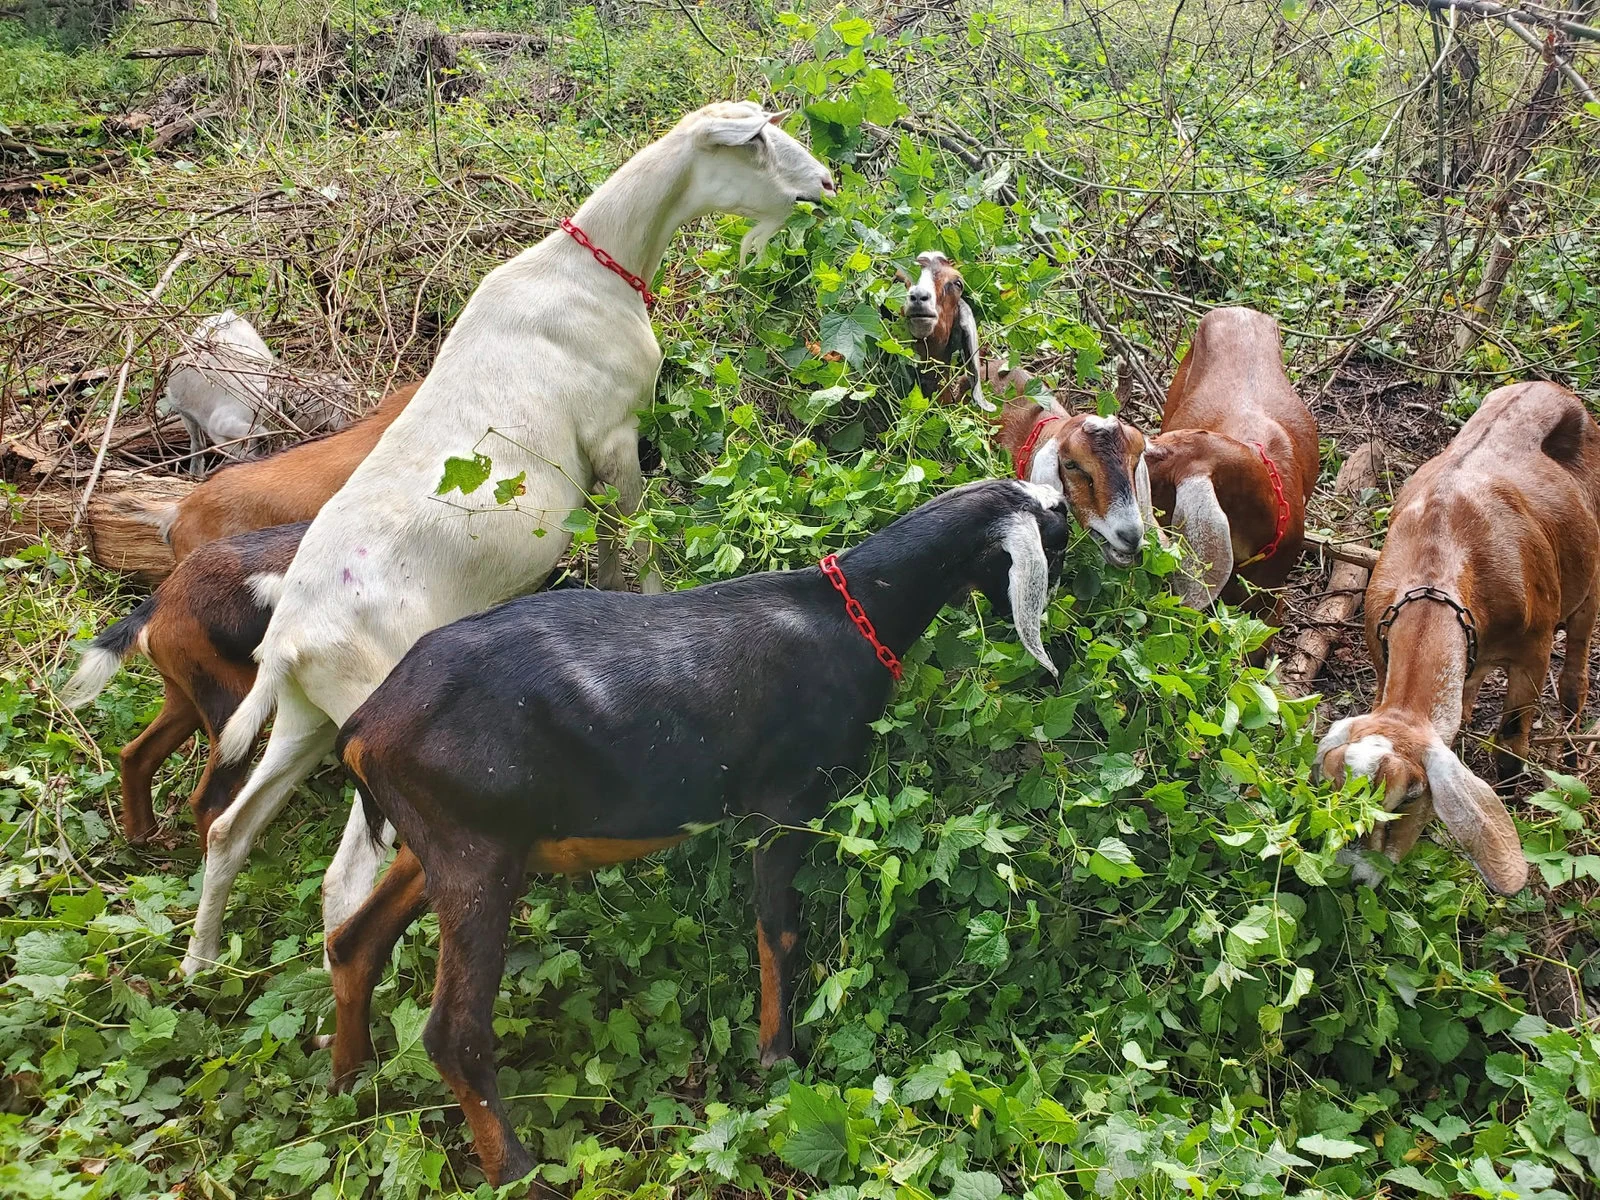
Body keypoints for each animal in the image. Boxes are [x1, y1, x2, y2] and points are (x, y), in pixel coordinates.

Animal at [184, 103, 838, 979]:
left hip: (304, 718)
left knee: (232, 829)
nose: (826, 183)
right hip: (376, 719)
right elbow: (640, 543)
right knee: (346, 874)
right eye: (759, 143)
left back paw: (202, 962)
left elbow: (607, 546)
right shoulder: (615, 433)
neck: (592, 269)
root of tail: (288, 641)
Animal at [1312, 380, 1600, 896]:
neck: (1441, 551)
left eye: (1409, 797)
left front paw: (1513, 796)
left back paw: (1570, 736)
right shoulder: (1382, 649)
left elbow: (1510, 742)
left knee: (1578, 660)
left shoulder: (1533, 651)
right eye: (1329, 787)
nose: (1354, 878)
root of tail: (1547, 385)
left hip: (1590, 579)